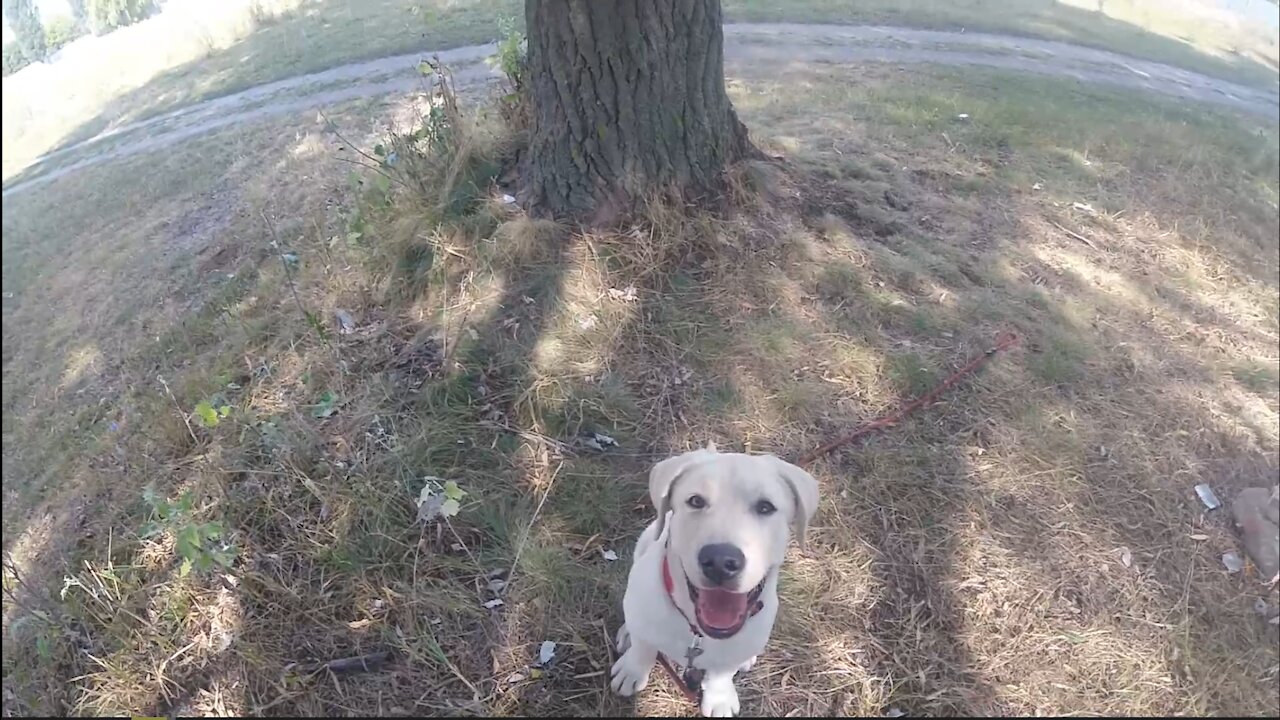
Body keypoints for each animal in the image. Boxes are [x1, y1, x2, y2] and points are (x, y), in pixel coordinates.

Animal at [611, 443, 819, 712]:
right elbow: (643, 646)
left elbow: (722, 673)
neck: (698, 635)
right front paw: (632, 670)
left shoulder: (730, 653)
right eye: (696, 501)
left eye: (765, 507)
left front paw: (720, 698)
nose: (720, 562)